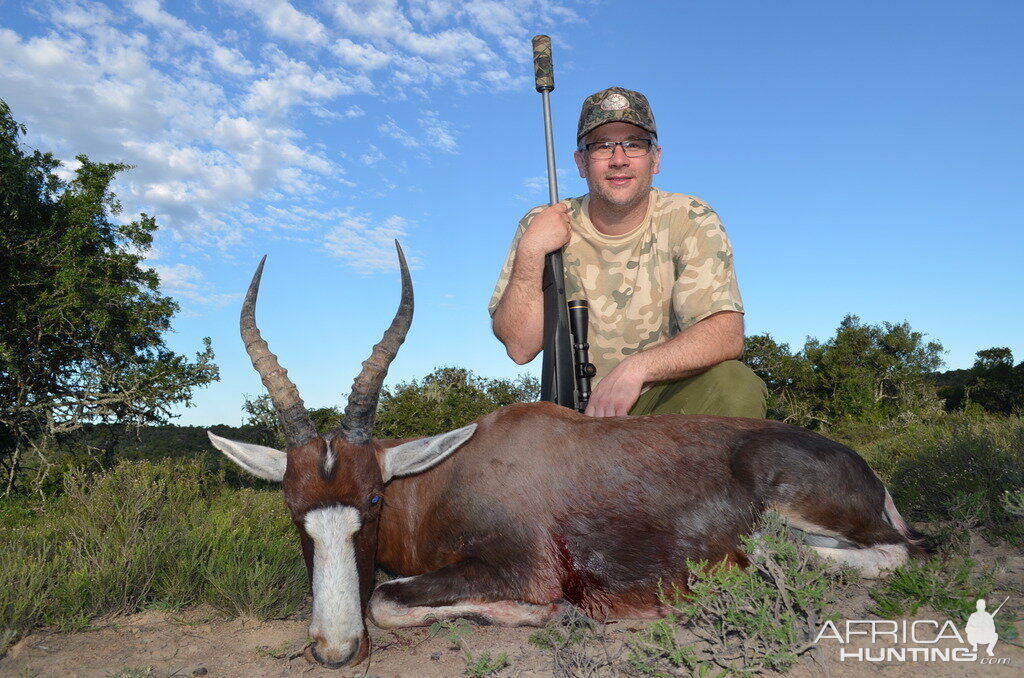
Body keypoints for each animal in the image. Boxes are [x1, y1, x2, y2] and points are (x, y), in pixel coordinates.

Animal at [207, 242, 929, 667]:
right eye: (292, 505)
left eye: (375, 497)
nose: (335, 650)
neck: (452, 468)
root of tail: (866, 473)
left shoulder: (513, 564)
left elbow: (387, 597)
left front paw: (550, 612)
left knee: (885, 554)